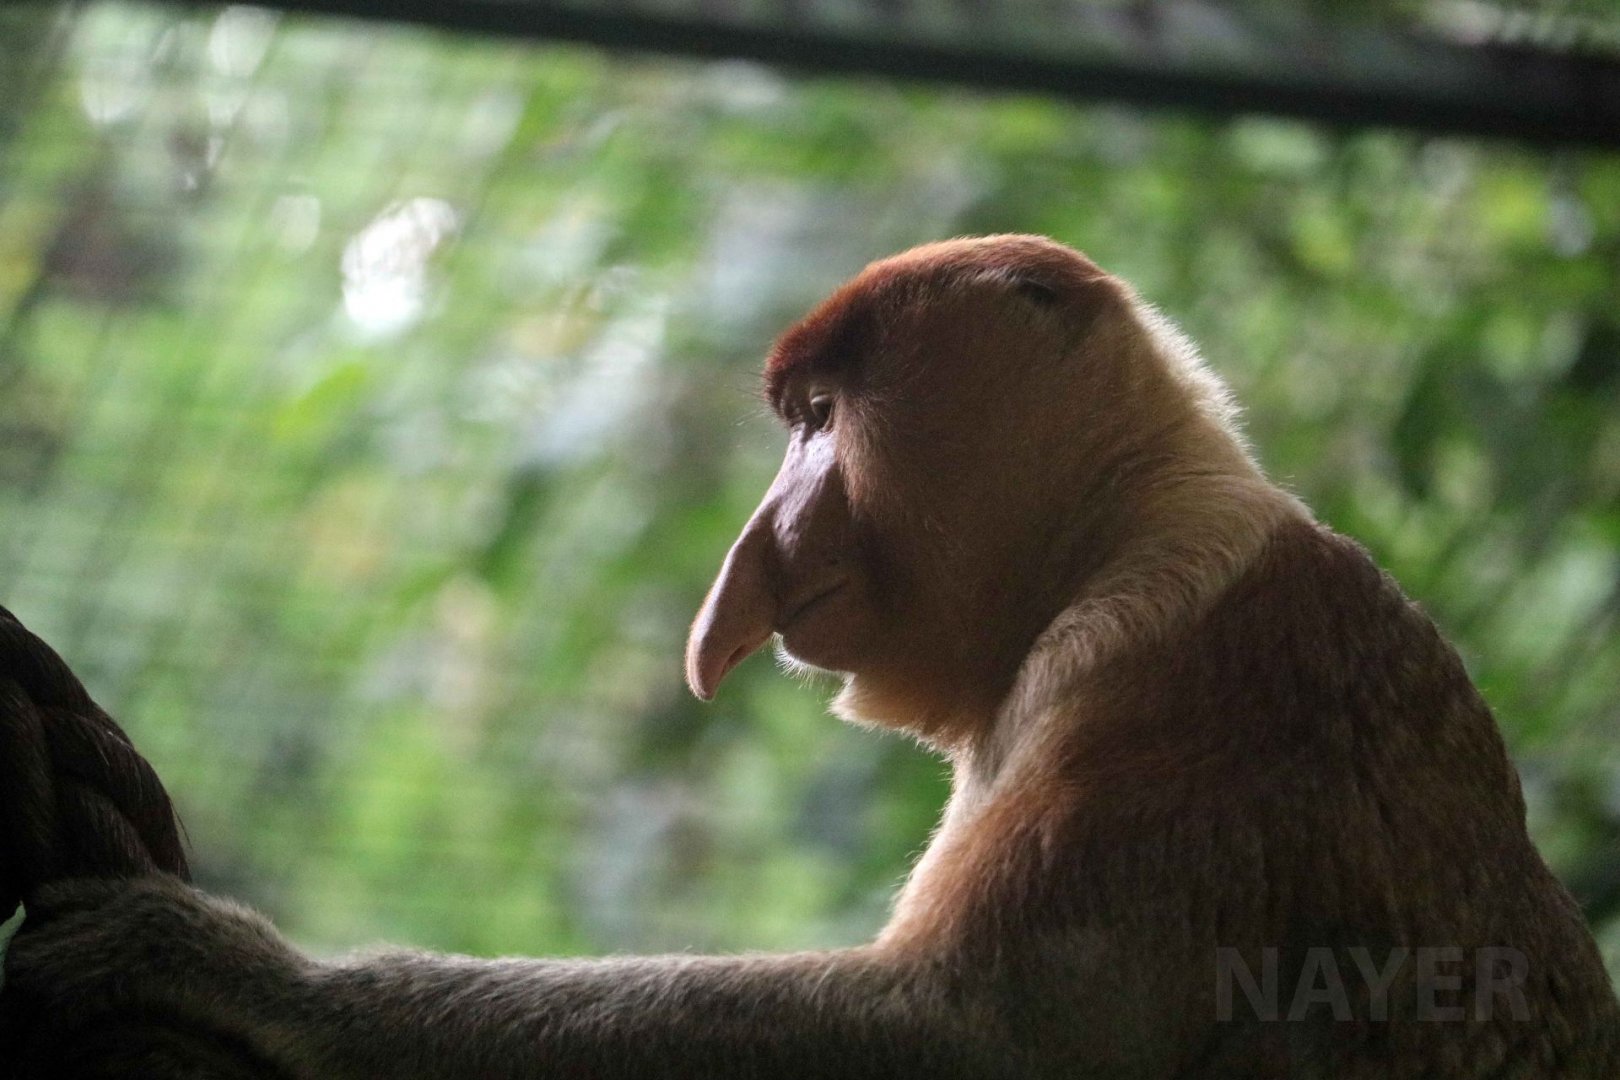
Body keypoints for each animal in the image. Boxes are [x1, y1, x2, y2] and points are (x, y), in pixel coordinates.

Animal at [4, 235, 1618, 1078]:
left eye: (826, 415)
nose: (762, 537)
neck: (1132, 510)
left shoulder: (1164, 663)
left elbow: (977, 1034)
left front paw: (231, 967)